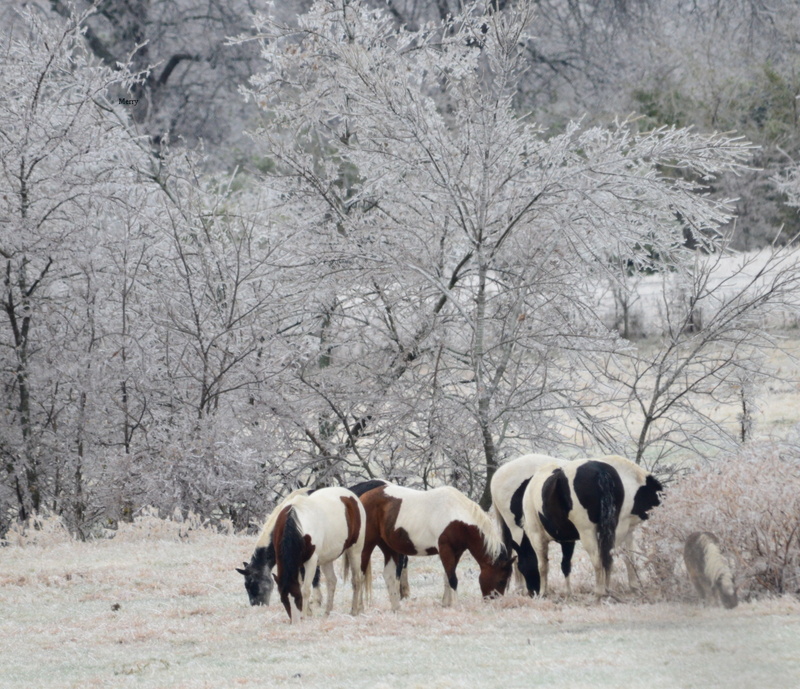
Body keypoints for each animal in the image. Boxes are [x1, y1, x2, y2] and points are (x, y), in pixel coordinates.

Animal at [270, 484, 368, 624]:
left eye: (297, 598)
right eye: (283, 600)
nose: (295, 622)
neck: (295, 523)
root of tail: (352, 497)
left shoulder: (311, 561)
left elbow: (305, 589)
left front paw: (305, 616)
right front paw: (308, 613)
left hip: (355, 550)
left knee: (356, 580)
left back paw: (354, 610)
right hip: (327, 558)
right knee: (332, 581)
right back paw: (327, 613)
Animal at [360, 482, 516, 612]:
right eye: (502, 580)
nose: (494, 602)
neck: (456, 515)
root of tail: (363, 497)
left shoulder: (456, 552)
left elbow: (448, 576)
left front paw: (446, 604)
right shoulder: (445, 549)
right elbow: (453, 579)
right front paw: (456, 605)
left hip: (389, 548)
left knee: (389, 575)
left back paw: (396, 608)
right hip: (367, 546)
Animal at [520, 460, 628, 600]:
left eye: (521, 566)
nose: (532, 592)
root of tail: (600, 469)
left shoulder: (537, 536)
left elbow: (542, 565)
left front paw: (544, 593)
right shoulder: (568, 541)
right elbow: (565, 565)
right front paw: (568, 593)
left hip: (587, 533)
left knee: (597, 560)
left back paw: (598, 593)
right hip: (610, 530)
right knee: (608, 558)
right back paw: (607, 591)